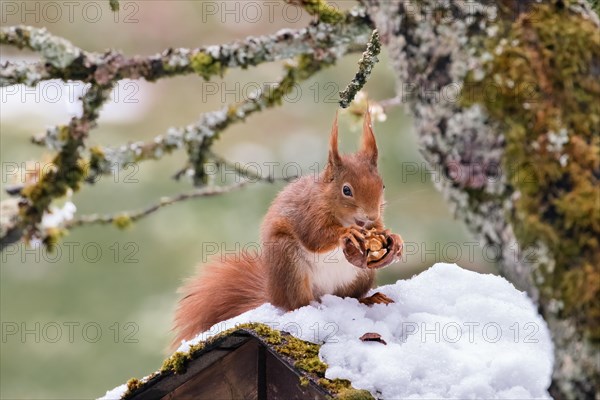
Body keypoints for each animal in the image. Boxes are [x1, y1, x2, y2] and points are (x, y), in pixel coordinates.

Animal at [175, 109, 408, 346]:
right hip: (288, 263)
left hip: (361, 275)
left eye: (382, 186)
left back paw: (370, 299)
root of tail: (273, 293)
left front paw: (394, 238)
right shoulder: (307, 213)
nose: (371, 215)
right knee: (296, 303)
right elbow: (315, 237)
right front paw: (346, 233)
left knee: (351, 297)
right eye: (346, 190)